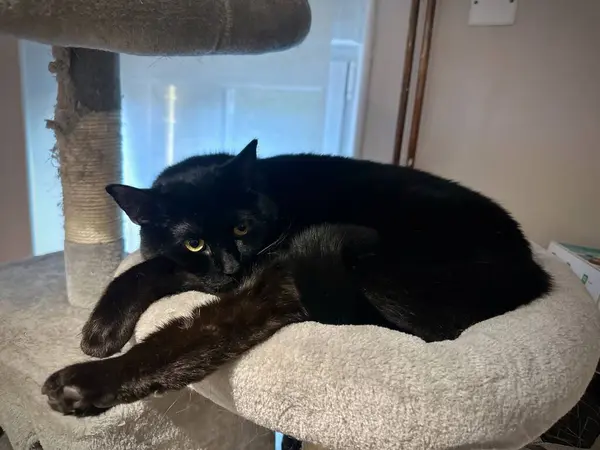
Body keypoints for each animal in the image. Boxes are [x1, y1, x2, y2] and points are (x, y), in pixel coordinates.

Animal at [42, 139, 552, 448]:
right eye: (195, 242)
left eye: (242, 227)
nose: (234, 265)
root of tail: (531, 271)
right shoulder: (206, 271)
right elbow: (151, 265)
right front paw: (103, 328)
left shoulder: (269, 271)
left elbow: (175, 313)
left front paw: (91, 356)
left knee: (197, 334)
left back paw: (82, 384)